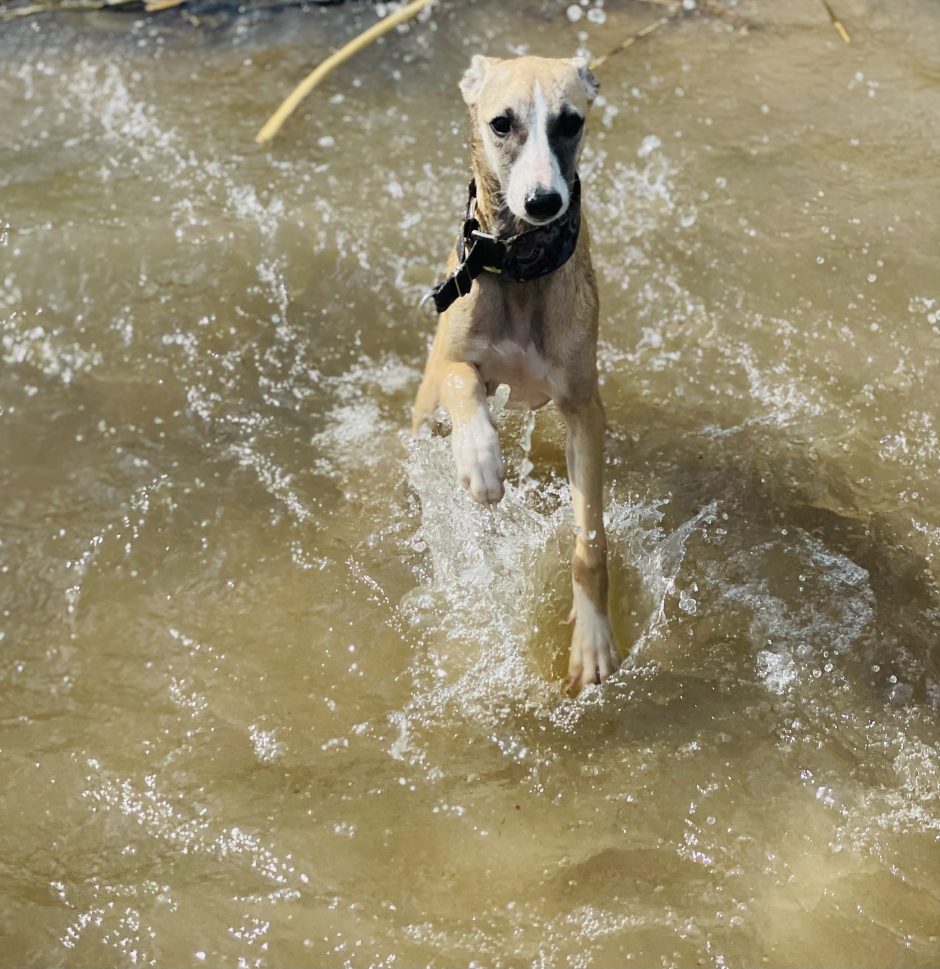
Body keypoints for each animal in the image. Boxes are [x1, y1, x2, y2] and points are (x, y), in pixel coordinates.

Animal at [410, 54, 616, 688]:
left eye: (571, 121)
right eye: (501, 123)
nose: (544, 201)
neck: (522, 267)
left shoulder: (583, 409)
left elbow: (590, 542)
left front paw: (592, 641)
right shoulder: (453, 362)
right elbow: (462, 379)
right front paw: (481, 460)